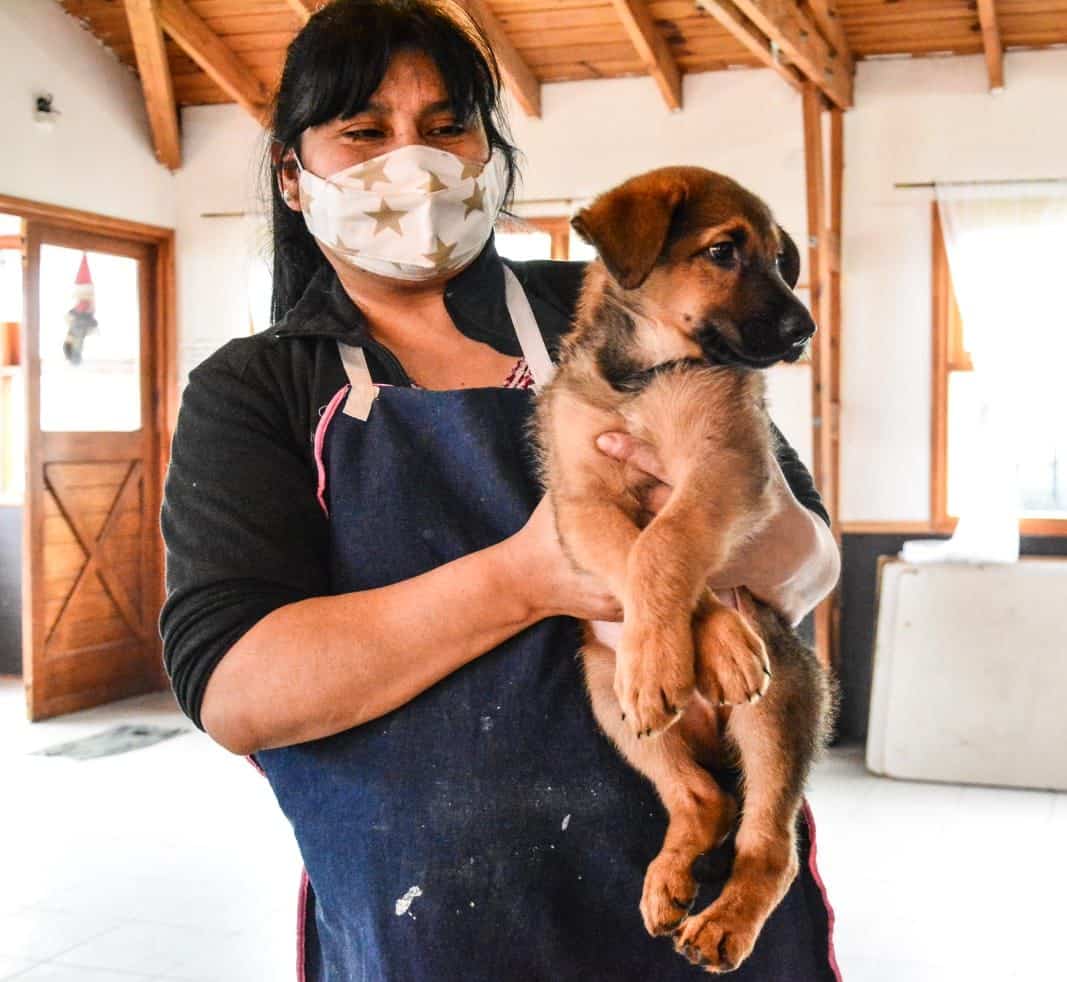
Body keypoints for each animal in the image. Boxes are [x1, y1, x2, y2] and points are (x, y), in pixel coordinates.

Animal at [533, 165, 832, 969]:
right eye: (723, 251)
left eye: (780, 260)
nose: (805, 331)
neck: (649, 374)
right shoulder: (579, 499)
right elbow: (639, 553)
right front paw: (684, 652)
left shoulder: (724, 467)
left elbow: (667, 543)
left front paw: (708, 646)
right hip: (604, 692)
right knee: (705, 799)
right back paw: (668, 879)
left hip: (777, 706)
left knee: (769, 843)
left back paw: (723, 924)